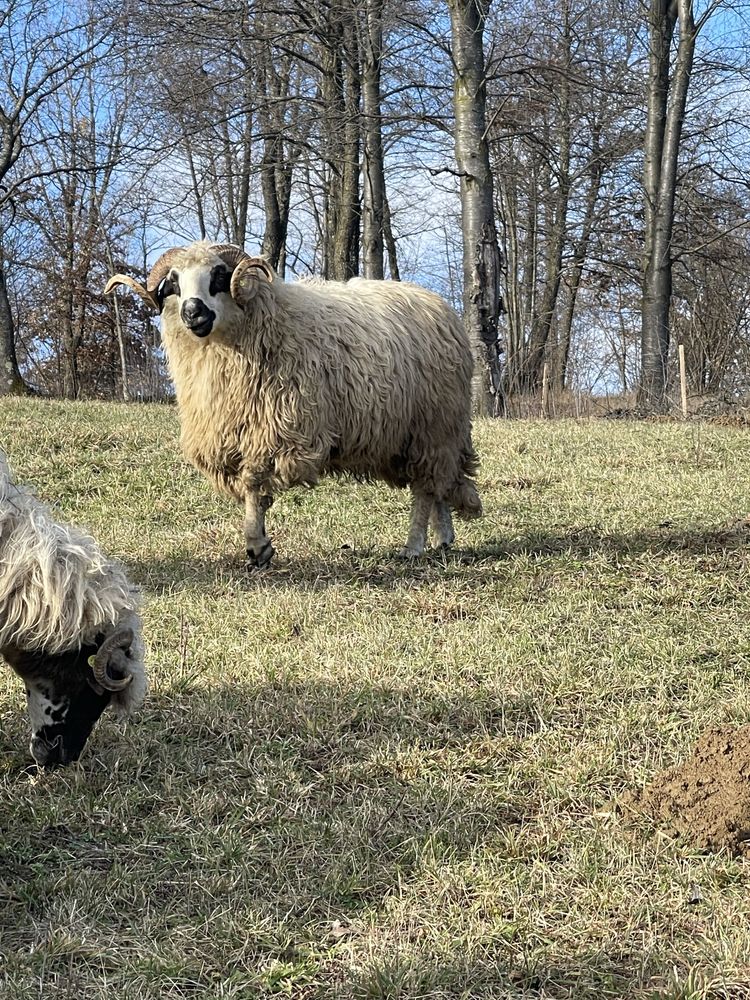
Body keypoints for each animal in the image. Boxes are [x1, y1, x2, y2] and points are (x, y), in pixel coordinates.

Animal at [104, 243, 482, 568]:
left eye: (219, 275)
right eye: (174, 282)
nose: (192, 312)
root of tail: (440, 306)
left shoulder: (274, 431)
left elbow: (253, 486)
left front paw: (258, 547)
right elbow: (249, 490)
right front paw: (258, 543)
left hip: (432, 426)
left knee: (424, 490)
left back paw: (414, 546)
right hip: (415, 437)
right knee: (438, 484)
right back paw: (443, 538)